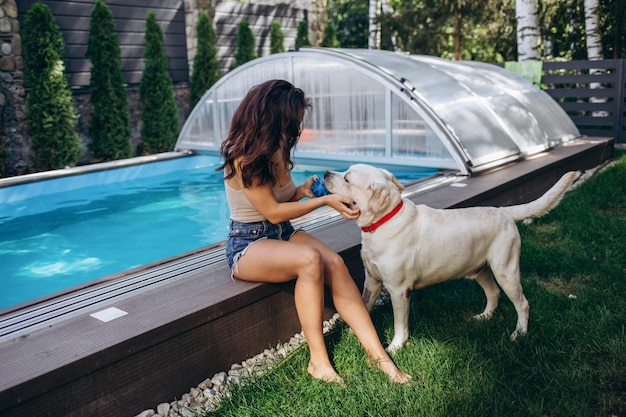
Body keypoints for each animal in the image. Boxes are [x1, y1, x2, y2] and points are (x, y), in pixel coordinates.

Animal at [324, 164, 576, 352]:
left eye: (347, 178)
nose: (325, 173)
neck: (382, 222)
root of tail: (504, 211)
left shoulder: (398, 290)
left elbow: (399, 324)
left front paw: (395, 347)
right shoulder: (372, 280)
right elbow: (364, 305)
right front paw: (354, 331)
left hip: (506, 270)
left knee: (522, 304)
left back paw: (520, 333)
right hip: (480, 271)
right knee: (493, 293)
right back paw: (484, 317)